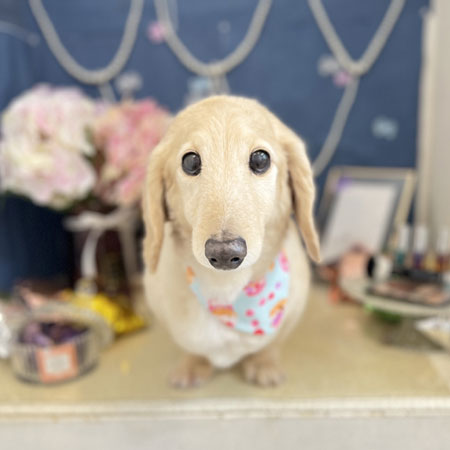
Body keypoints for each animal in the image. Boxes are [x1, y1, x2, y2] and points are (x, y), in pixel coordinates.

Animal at [142, 96, 320, 388]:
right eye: (190, 162)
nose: (224, 253)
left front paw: (264, 363)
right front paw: (193, 364)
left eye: (260, 159)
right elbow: (191, 348)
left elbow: (271, 345)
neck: (227, 291)